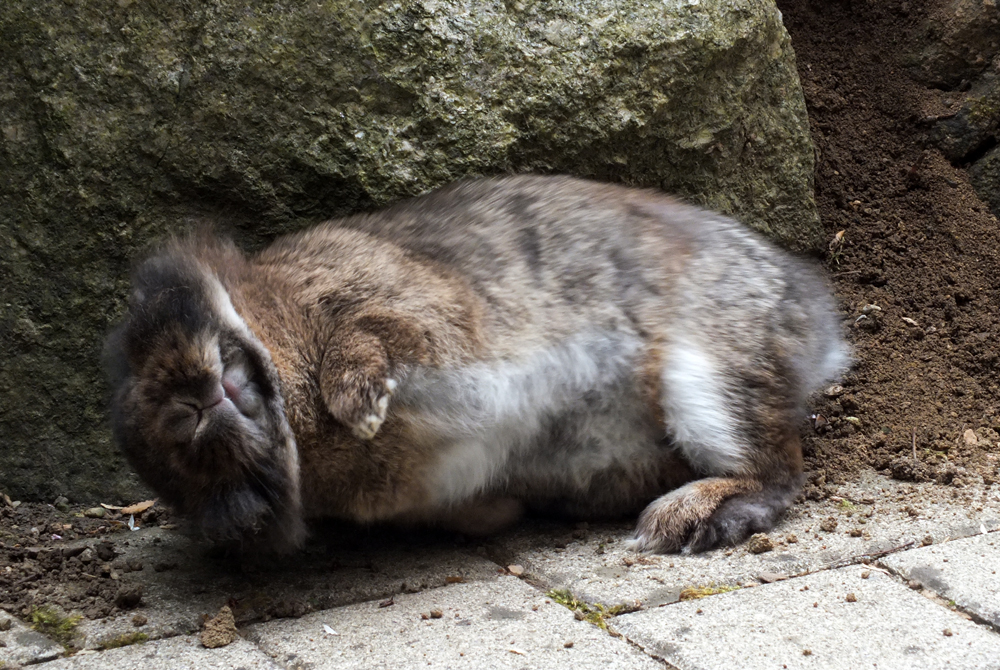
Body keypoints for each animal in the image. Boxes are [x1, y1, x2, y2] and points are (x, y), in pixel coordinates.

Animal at [105, 175, 848, 556]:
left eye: (169, 335)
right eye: (179, 473)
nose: (190, 408)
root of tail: (810, 317)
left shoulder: (407, 307)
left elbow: (366, 335)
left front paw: (361, 405)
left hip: (706, 376)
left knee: (776, 470)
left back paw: (679, 522)